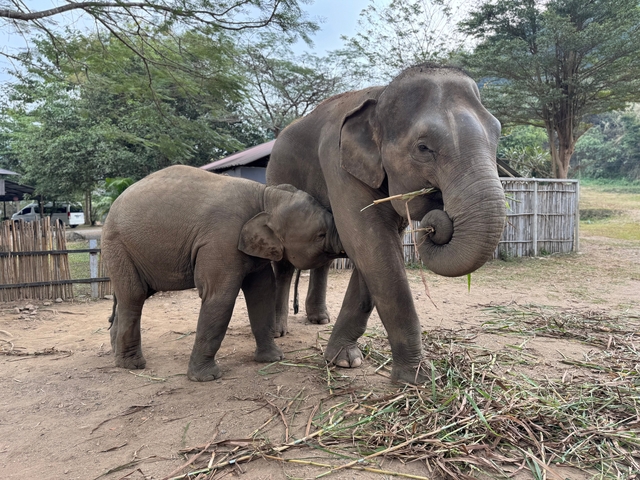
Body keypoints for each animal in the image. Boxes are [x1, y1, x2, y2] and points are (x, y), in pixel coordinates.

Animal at [102, 165, 343, 382]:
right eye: (321, 235)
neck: (266, 195)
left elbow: (262, 293)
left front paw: (273, 359)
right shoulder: (222, 241)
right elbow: (219, 297)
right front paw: (206, 378)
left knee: (136, 294)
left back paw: (116, 352)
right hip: (118, 245)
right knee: (134, 295)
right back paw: (132, 364)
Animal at [266, 64, 506, 384]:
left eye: (497, 134)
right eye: (423, 147)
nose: (434, 225)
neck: (381, 94)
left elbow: (375, 251)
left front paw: (344, 360)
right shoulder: (338, 163)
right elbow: (371, 243)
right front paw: (417, 378)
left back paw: (319, 320)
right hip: (277, 177)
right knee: (282, 263)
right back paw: (278, 331)